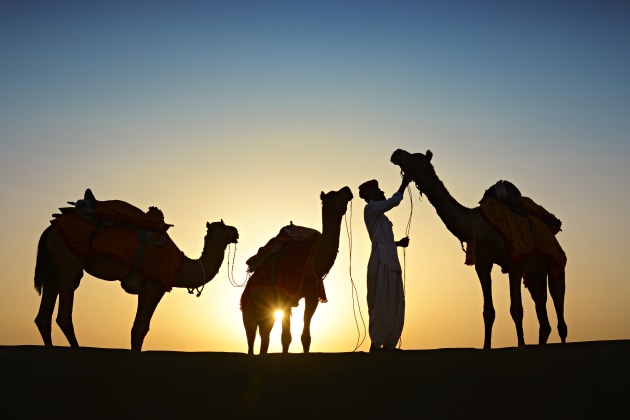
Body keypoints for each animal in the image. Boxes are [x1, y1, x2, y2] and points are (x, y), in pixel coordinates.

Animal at [34, 190, 239, 352]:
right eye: (224, 226)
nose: (236, 231)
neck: (180, 266)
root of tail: (50, 229)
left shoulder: (144, 289)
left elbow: (136, 328)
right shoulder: (155, 286)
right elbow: (141, 328)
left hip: (53, 266)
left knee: (44, 313)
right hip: (69, 261)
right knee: (64, 311)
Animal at [241, 187, 354, 354]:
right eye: (334, 194)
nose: (347, 189)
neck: (312, 261)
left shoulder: (312, 296)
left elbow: (306, 337)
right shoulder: (285, 295)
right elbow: (286, 337)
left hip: (265, 310)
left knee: (264, 334)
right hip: (248, 306)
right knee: (251, 336)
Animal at [392, 149, 572, 350]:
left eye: (416, 157)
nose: (397, 153)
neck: (481, 227)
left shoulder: (515, 263)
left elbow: (516, 310)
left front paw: (521, 345)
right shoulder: (483, 263)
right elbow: (488, 312)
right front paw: (486, 346)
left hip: (555, 261)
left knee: (558, 302)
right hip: (535, 273)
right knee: (543, 314)